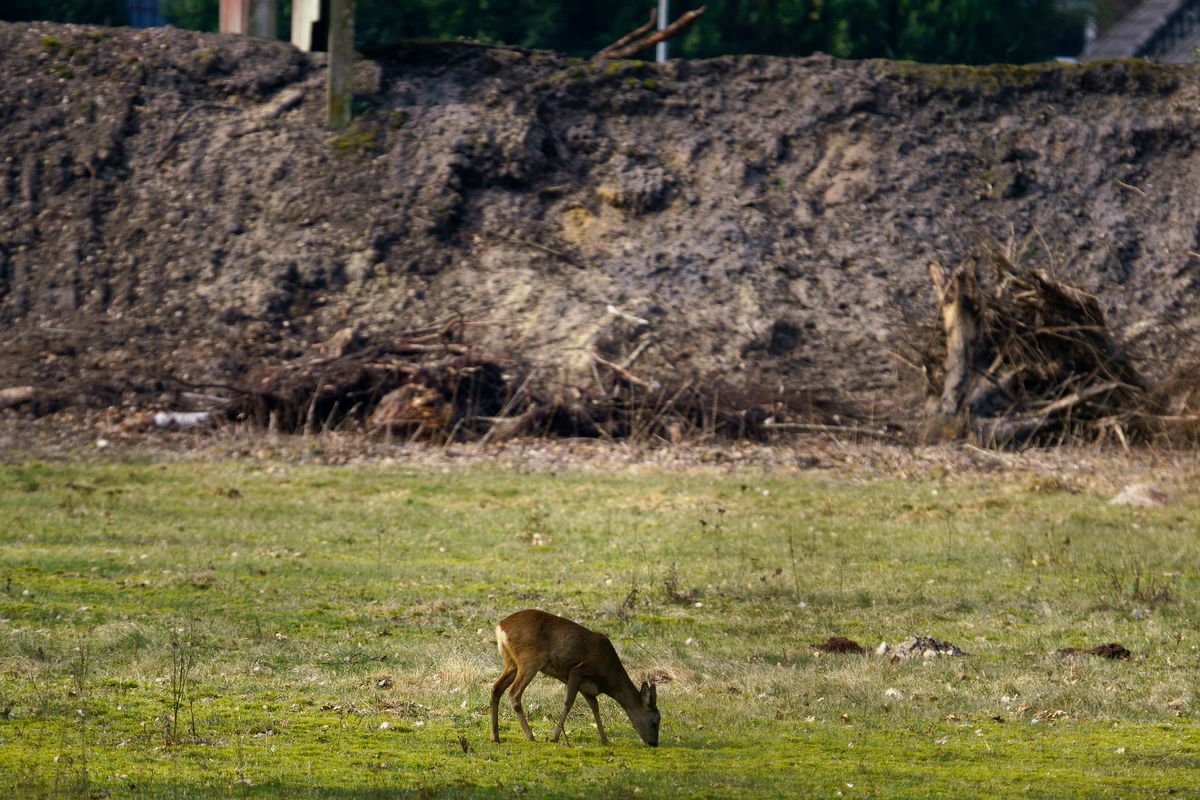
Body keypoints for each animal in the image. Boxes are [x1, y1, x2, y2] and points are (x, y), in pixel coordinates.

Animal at [487, 609, 662, 748]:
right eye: (655, 721)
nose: (654, 743)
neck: (607, 677)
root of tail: (500, 627)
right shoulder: (577, 671)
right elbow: (568, 703)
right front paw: (554, 738)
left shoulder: (588, 688)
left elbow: (595, 707)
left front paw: (605, 739)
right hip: (529, 660)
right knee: (514, 693)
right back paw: (530, 736)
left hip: (511, 663)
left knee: (496, 688)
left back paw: (495, 736)